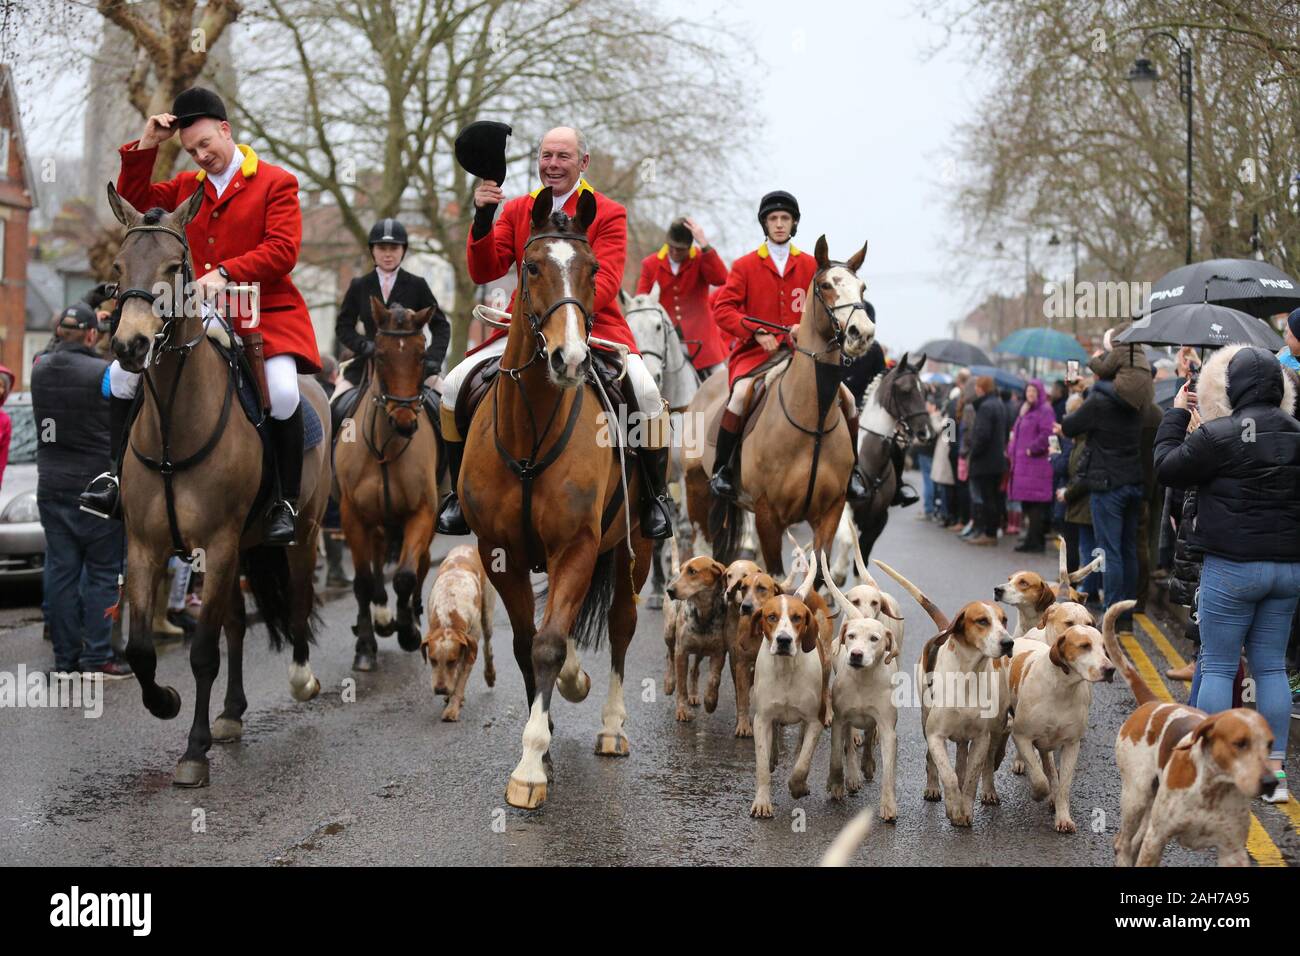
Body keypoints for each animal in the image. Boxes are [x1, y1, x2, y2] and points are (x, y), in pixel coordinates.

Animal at [104, 183, 332, 790]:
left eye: (174, 266)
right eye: (118, 266)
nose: (131, 347)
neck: (172, 420)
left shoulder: (221, 542)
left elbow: (203, 650)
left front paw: (193, 752)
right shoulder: (146, 546)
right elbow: (141, 647)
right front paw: (165, 702)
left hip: (300, 534)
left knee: (297, 600)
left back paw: (301, 677)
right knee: (234, 624)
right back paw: (230, 713)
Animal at [332, 295, 439, 671]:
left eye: (421, 355)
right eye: (379, 355)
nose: (405, 422)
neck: (384, 447)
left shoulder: (422, 513)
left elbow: (406, 576)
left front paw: (407, 630)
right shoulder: (353, 516)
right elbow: (363, 581)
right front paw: (365, 645)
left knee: (419, 565)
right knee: (377, 563)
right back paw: (379, 617)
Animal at [460, 191, 660, 811]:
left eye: (593, 270)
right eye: (530, 267)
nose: (570, 361)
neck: (531, 430)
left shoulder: (577, 546)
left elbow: (548, 645)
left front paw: (529, 767)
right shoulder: (499, 552)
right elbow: (529, 644)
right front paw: (540, 740)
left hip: (633, 549)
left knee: (621, 625)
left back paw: (612, 727)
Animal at [681, 238, 873, 574]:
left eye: (862, 288)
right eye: (826, 285)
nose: (862, 333)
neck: (813, 419)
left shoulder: (831, 510)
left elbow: (819, 576)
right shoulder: (768, 514)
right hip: (697, 488)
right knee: (701, 547)